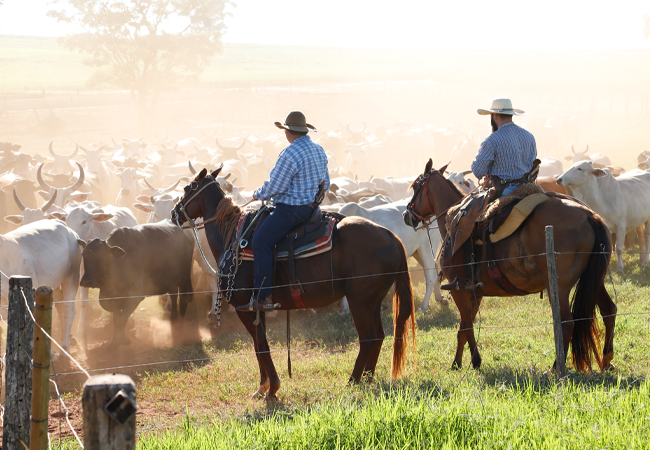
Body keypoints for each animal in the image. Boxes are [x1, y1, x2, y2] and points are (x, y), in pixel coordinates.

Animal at [172, 167, 416, 400]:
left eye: (188, 188)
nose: (174, 213)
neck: (234, 238)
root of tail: (392, 237)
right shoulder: (258, 308)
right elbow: (259, 345)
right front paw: (263, 387)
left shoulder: (245, 307)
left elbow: (261, 346)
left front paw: (271, 389)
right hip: (373, 301)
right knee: (379, 336)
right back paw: (368, 378)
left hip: (360, 302)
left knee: (367, 338)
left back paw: (353, 381)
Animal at [402, 160, 616, 374]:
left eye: (416, 186)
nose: (406, 214)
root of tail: (590, 216)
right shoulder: (475, 293)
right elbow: (464, 326)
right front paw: (459, 362)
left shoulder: (459, 290)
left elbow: (466, 325)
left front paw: (472, 360)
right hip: (593, 279)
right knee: (608, 309)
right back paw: (606, 359)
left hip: (559, 286)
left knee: (566, 322)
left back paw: (556, 367)